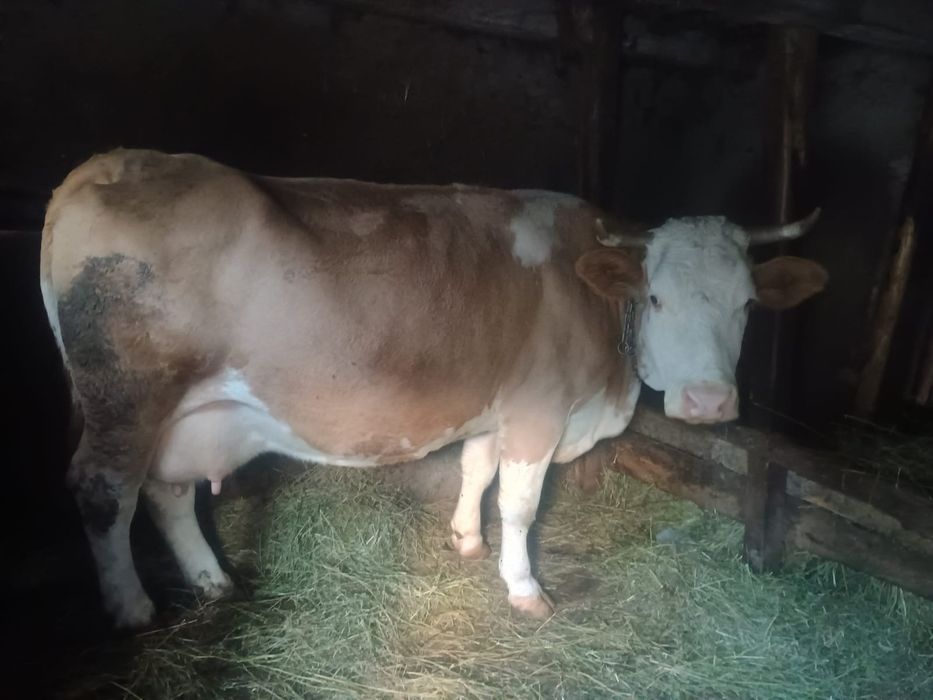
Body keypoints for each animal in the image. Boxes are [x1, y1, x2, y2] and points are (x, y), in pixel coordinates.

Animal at [39, 149, 827, 628]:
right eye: (657, 299)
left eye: (747, 304)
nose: (707, 402)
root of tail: (105, 164)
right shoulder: (538, 411)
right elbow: (520, 503)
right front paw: (524, 587)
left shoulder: (494, 405)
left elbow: (476, 470)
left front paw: (465, 539)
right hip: (126, 395)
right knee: (104, 490)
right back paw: (132, 606)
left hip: (182, 413)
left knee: (167, 491)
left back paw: (211, 580)